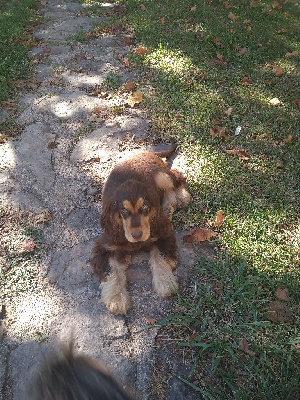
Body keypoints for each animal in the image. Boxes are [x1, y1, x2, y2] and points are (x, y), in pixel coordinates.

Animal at [90, 151, 191, 316]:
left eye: (144, 208)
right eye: (123, 211)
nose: (137, 235)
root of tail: (144, 151)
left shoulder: (163, 235)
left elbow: (160, 257)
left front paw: (164, 283)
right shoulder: (105, 247)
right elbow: (111, 270)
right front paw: (117, 299)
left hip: (162, 176)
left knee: (177, 177)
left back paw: (180, 198)